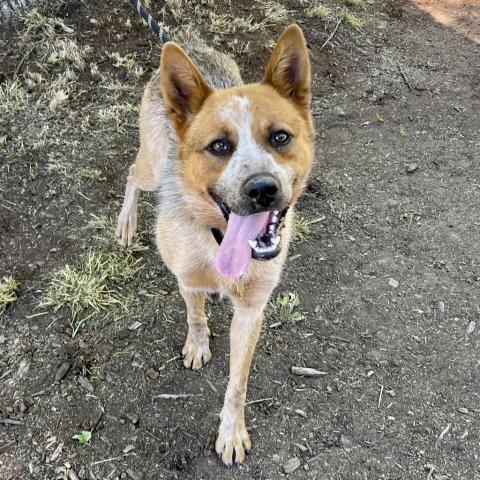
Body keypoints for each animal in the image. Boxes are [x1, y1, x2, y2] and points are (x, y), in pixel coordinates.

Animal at [116, 25, 316, 464]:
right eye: (219, 146)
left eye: (280, 137)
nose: (262, 190)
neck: (218, 238)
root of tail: (188, 42)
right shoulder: (188, 280)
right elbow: (195, 316)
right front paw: (197, 343)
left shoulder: (251, 311)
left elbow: (237, 384)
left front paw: (232, 431)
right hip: (152, 167)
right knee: (133, 173)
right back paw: (126, 222)